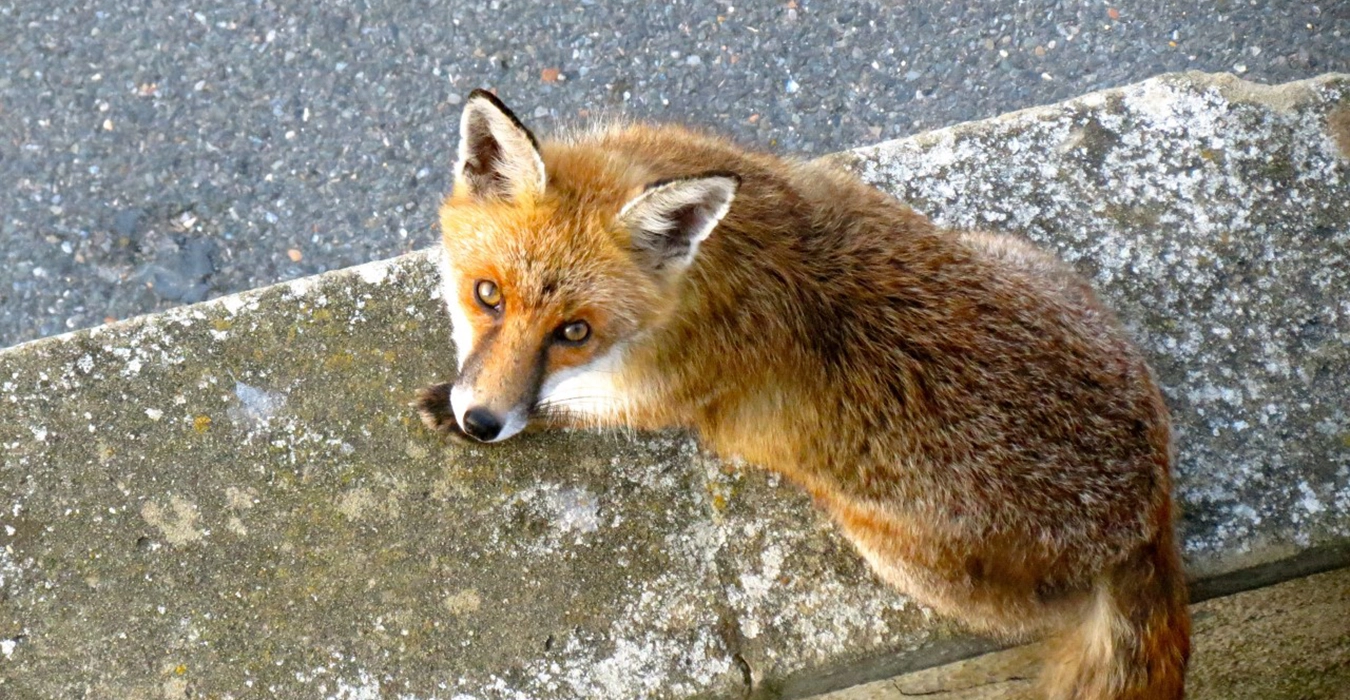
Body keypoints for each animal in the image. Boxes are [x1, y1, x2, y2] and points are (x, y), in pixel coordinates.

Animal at [414, 89, 1190, 699]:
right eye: (487, 295)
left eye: (574, 332)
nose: (480, 422)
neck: (693, 281)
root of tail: (1148, 498)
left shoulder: (657, 399)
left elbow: (562, 409)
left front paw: (472, 412)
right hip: (1011, 250)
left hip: (899, 559)